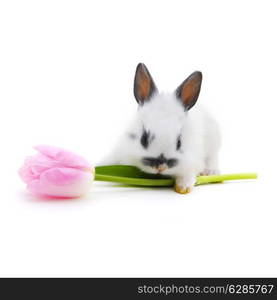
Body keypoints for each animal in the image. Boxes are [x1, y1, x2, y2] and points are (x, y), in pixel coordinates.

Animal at [101, 63, 220, 195]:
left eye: (179, 142)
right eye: (144, 139)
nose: (160, 167)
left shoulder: (191, 159)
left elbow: (187, 174)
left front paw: (183, 188)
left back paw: (211, 172)